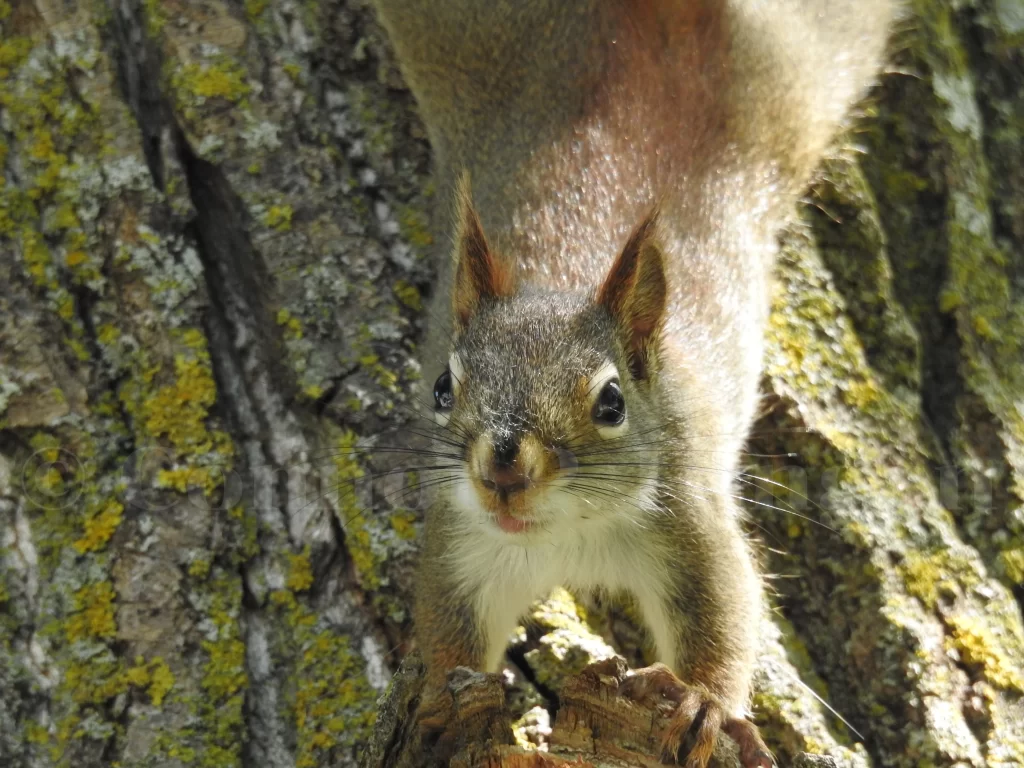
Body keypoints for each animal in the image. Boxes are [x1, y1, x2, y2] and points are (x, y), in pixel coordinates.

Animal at [370, 3, 897, 765]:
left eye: (612, 402)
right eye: (443, 386)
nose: (502, 470)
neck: (567, 531)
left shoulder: (688, 512)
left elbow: (724, 609)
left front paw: (705, 702)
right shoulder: (462, 539)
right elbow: (449, 629)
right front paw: (441, 701)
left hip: (809, 61)